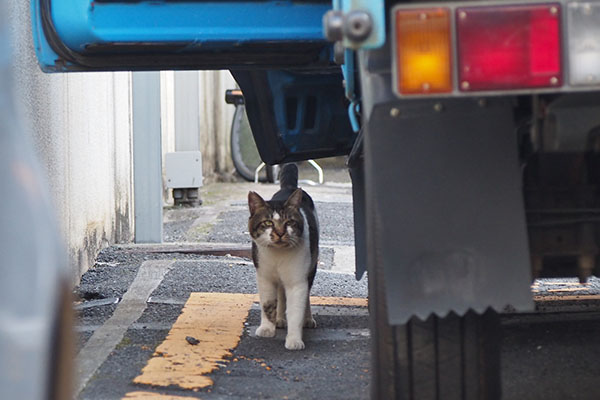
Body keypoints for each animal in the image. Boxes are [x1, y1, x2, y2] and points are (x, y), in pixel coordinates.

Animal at [246, 163, 318, 350]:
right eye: (268, 223)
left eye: (289, 222)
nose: (279, 233)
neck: (277, 254)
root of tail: (289, 187)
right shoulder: (264, 277)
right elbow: (268, 304)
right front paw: (266, 328)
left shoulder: (297, 282)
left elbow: (296, 310)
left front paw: (294, 340)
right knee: (280, 292)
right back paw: (279, 319)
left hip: (311, 267)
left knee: (306, 295)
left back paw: (307, 319)